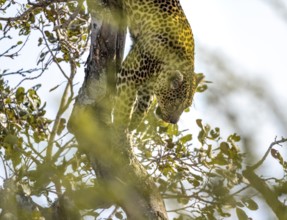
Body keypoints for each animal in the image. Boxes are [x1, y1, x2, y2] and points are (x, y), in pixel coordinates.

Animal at [113, 0, 201, 130]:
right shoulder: (129, 75)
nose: (173, 122)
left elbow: (143, 106)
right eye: (175, 105)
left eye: (185, 107)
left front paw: (132, 125)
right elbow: (124, 108)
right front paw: (118, 131)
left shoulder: (149, 86)